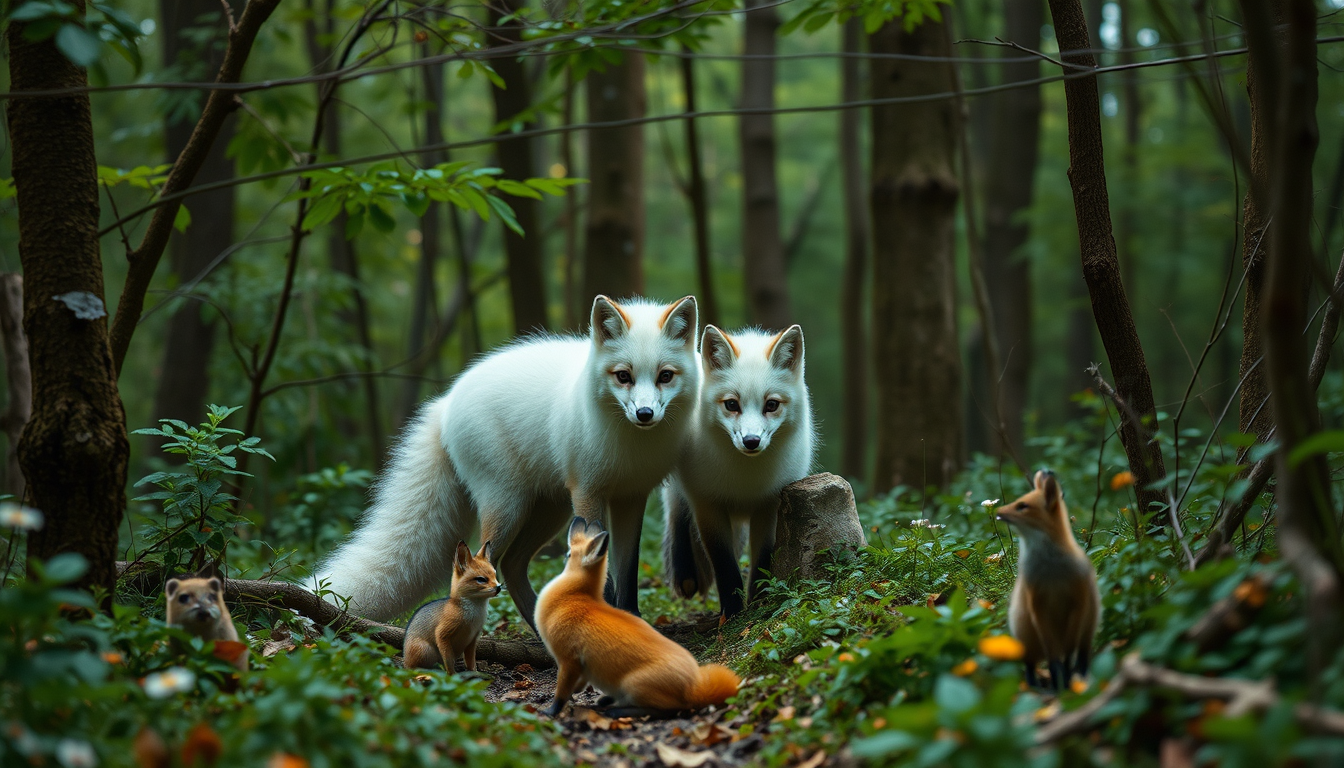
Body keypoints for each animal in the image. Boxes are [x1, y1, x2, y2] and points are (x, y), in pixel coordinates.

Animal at [315, 295, 700, 630]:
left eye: (665, 376)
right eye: (623, 376)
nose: (645, 414)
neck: (631, 447)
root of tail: (447, 399)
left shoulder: (631, 497)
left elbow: (628, 571)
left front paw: (631, 620)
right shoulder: (589, 492)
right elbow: (601, 572)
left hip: (550, 510)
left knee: (513, 566)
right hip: (509, 506)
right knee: (485, 561)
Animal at [402, 541, 501, 672]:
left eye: (495, 575)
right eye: (481, 579)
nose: (499, 587)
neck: (474, 615)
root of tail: (404, 658)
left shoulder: (473, 639)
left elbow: (471, 662)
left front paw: (475, 673)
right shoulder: (442, 634)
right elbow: (449, 662)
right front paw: (453, 675)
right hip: (427, 651)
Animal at [536, 518, 741, 717]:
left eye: (568, 554)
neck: (575, 596)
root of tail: (694, 687)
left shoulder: (567, 660)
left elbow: (560, 694)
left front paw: (550, 712)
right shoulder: (579, 665)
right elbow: (579, 684)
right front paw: (577, 692)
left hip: (632, 684)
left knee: (668, 710)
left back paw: (617, 711)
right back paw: (607, 700)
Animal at [661, 325, 814, 619]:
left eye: (771, 405)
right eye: (732, 404)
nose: (751, 441)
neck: (745, 480)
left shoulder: (769, 505)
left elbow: (762, 560)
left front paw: (758, 603)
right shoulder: (707, 505)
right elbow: (725, 565)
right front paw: (731, 613)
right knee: (677, 515)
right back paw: (686, 574)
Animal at [995, 470, 1100, 691]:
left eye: (1022, 505)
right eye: (1018, 502)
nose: (997, 510)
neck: (1052, 571)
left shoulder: (1079, 599)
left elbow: (1068, 655)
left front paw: (1066, 680)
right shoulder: (1036, 602)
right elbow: (1054, 661)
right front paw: (1059, 681)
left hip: (1089, 626)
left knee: (1082, 658)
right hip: (1026, 636)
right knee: (1030, 665)